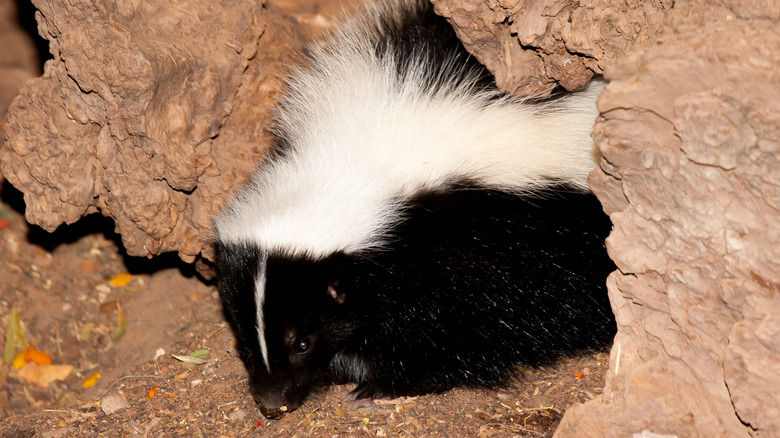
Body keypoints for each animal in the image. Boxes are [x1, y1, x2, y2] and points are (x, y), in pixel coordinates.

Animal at [213, 0, 616, 420]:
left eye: (304, 341)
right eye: (243, 340)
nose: (273, 401)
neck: (346, 162)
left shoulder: (467, 247)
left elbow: (455, 329)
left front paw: (381, 383)